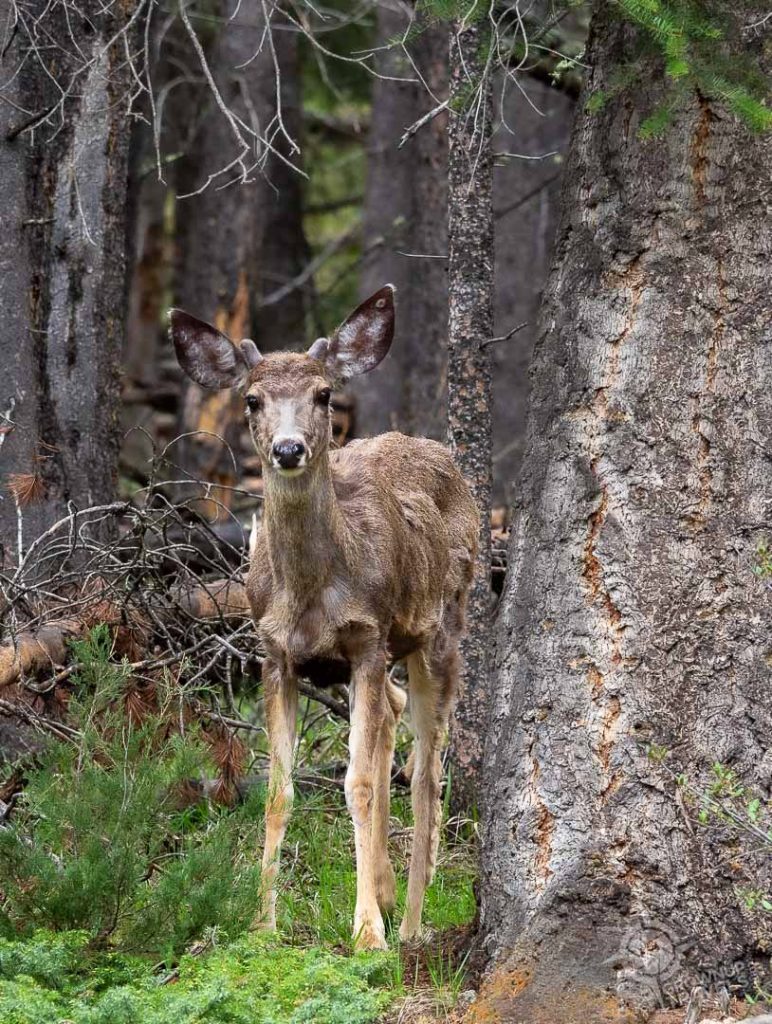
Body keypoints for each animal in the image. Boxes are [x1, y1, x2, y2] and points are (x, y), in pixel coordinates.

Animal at [169, 285, 478, 950]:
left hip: (440, 628)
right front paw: (262, 924)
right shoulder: (276, 654)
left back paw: (409, 920)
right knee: (392, 720)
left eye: (323, 394)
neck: (311, 592)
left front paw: (367, 933)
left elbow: (356, 784)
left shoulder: (366, 640)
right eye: (252, 398)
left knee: (426, 768)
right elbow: (277, 792)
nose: (288, 449)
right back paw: (386, 890)